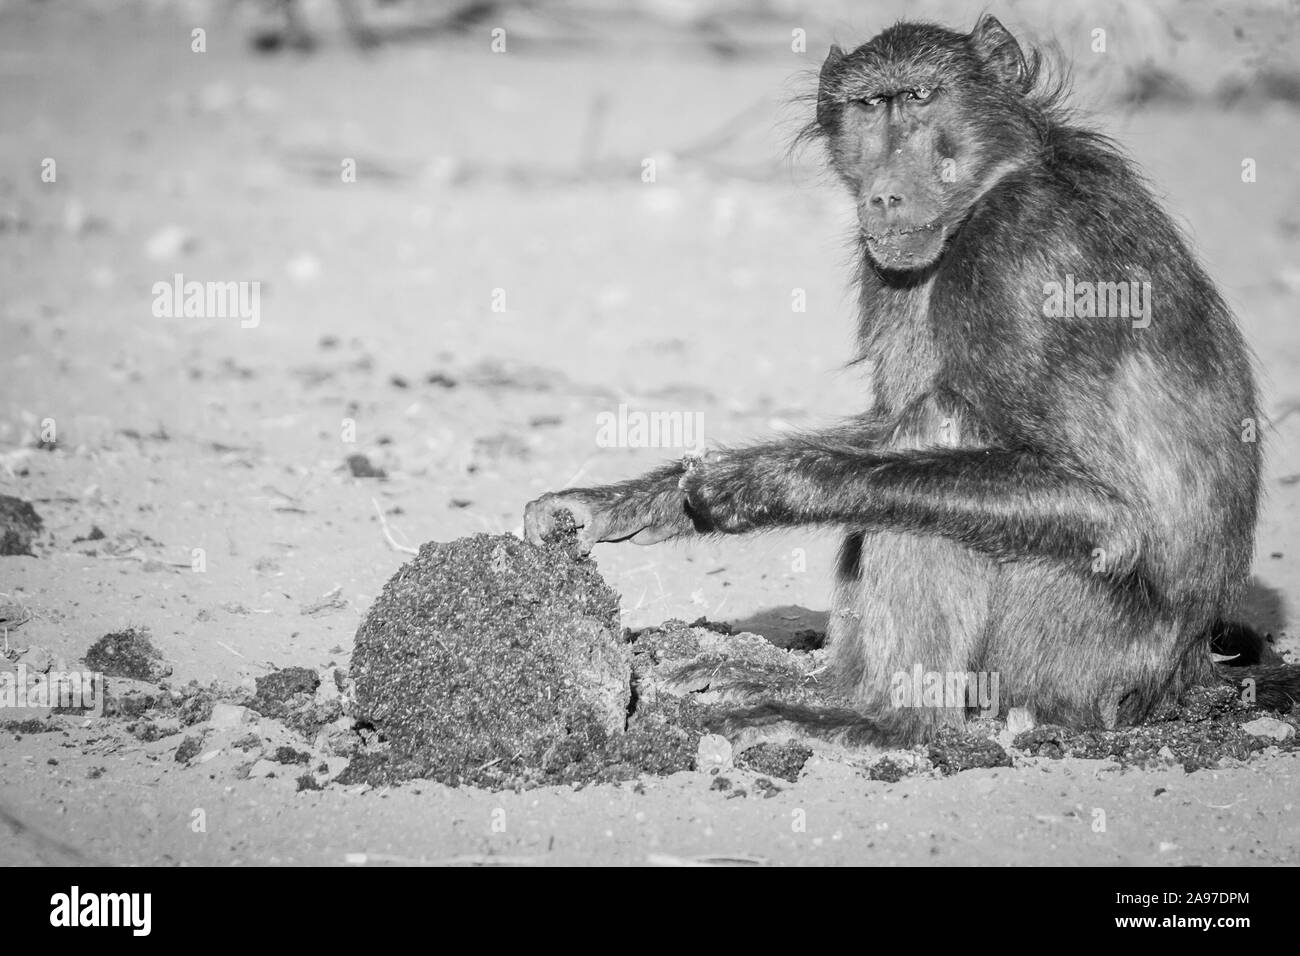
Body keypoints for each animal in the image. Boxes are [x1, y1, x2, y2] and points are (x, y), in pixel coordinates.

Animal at [524, 16, 1299, 744]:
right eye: (871, 107)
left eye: (923, 98)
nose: (887, 196)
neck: (997, 180)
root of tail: (1185, 671)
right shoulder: (893, 269)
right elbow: (883, 421)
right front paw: (620, 504)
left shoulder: (1026, 258)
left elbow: (1107, 510)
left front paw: (771, 482)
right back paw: (816, 686)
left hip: (1078, 651)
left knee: (934, 445)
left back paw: (885, 722)